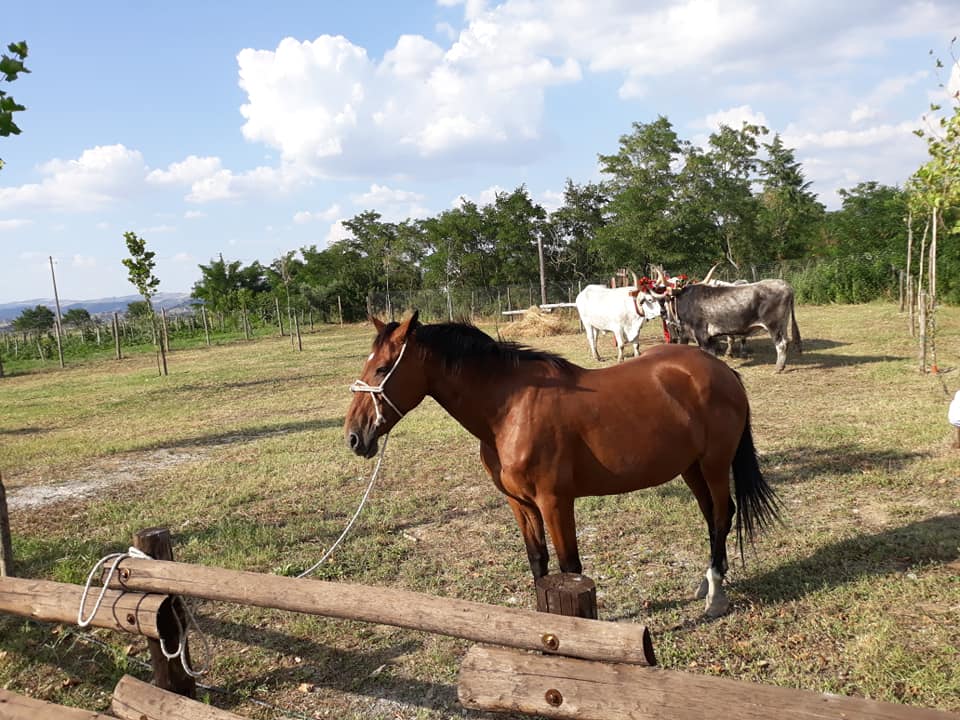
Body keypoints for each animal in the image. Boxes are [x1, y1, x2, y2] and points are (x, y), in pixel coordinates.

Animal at [344, 312, 780, 616]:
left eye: (382, 368)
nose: (354, 437)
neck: (509, 409)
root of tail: (721, 371)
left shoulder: (555, 502)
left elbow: (570, 565)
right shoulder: (520, 504)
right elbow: (538, 561)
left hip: (713, 465)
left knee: (722, 515)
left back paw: (717, 595)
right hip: (690, 468)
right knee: (711, 518)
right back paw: (706, 582)